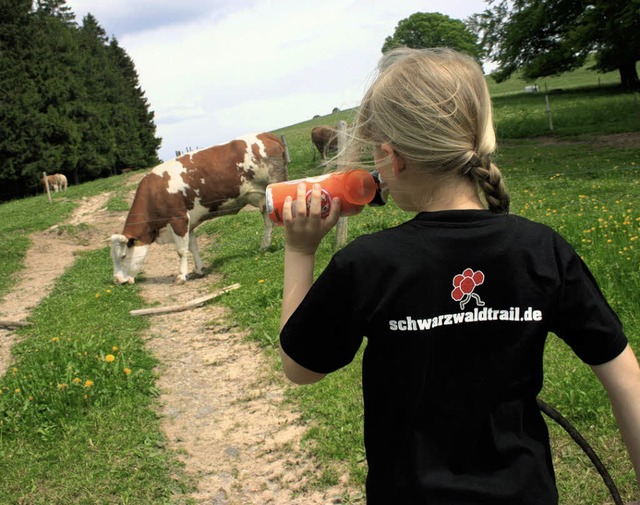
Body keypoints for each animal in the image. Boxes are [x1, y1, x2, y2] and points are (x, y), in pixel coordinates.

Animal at [109, 132, 288, 284]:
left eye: (123, 256)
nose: (117, 280)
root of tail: (266, 135)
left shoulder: (179, 220)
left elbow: (181, 251)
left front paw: (181, 276)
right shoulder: (189, 224)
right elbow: (193, 247)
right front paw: (199, 270)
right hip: (262, 198)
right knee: (268, 223)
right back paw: (264, 246)